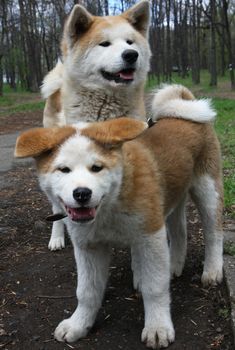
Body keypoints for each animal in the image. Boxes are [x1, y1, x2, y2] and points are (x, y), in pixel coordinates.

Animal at [15, 85, 223, 350]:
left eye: (97, 168)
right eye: (63, 170)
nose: (82, 193)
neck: (111, 203)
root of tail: (183, 109)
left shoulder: (150, 236)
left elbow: (154, 287)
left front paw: (158, 327)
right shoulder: (88, 247)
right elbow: (87, 291)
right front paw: (79, 324)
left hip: (207, 189)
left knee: (214, 232)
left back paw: (212, 270)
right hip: (171, 197)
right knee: (179, 232)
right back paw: (175, 265)